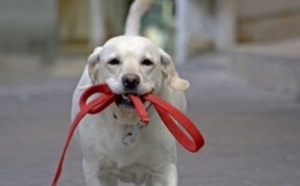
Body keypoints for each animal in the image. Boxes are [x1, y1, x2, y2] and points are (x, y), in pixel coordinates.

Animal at [71, 0, 190, 185]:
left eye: (147, 62)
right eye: (113, 61)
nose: (131, 80)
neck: (128, 121)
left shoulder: (163, 169)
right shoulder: (96, 171)